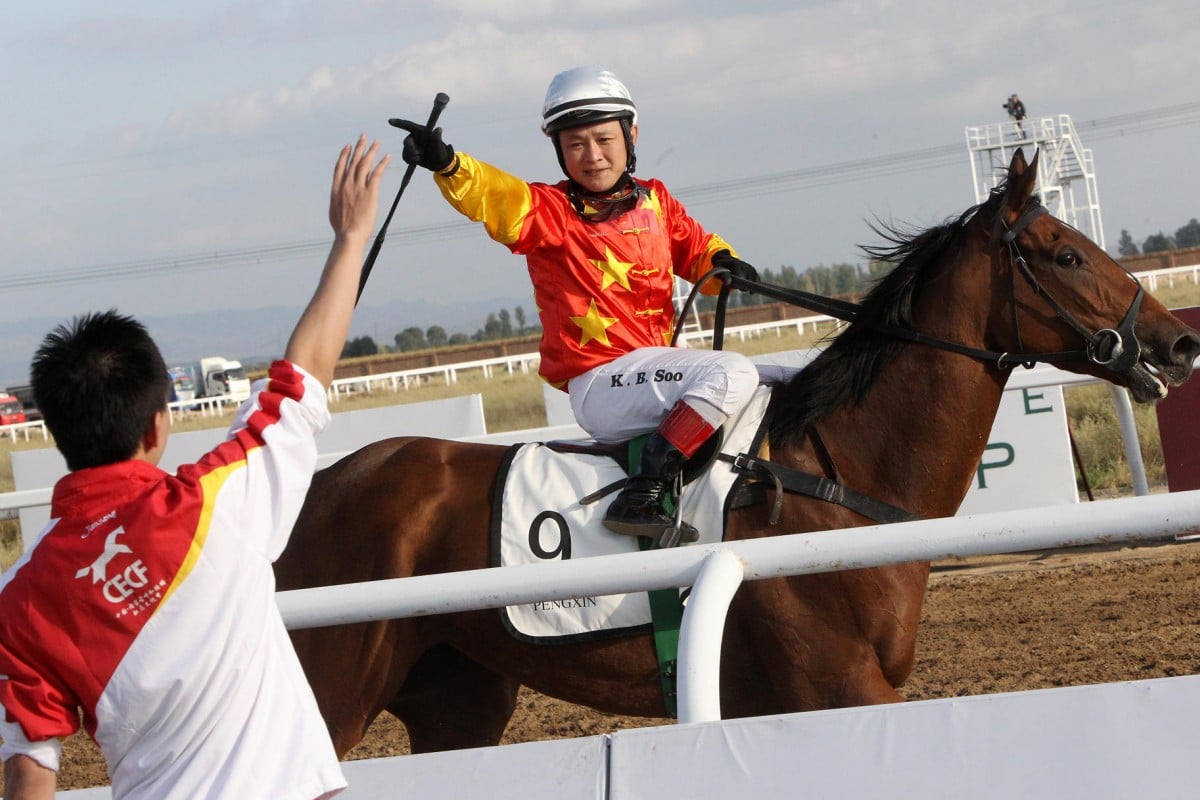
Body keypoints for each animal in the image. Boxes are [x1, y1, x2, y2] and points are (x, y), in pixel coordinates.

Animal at [272, 149, 1200, 758]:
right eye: (1067, 252)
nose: (1179, 342)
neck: (834, 479)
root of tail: (323, 485)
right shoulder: (834, 685)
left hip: (456, 700)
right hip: (333, 691)